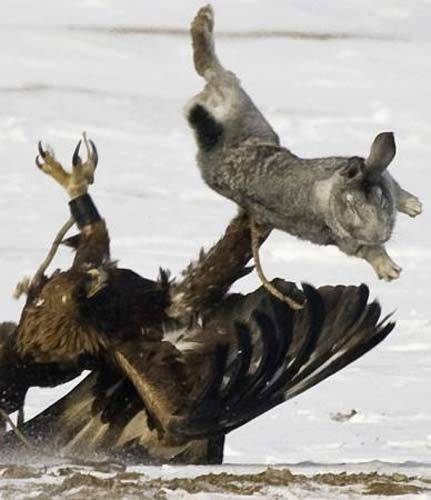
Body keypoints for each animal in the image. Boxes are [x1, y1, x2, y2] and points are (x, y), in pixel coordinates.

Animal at [186, 4, 422, 282]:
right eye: (352, 207)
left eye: (382, 201)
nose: (378, 234)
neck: (332, 192)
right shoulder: (349, 241)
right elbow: (372, 252)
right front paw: (390, 271)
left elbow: (397, 190)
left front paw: (415, 207)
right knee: (211, 71)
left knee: (214, 72)